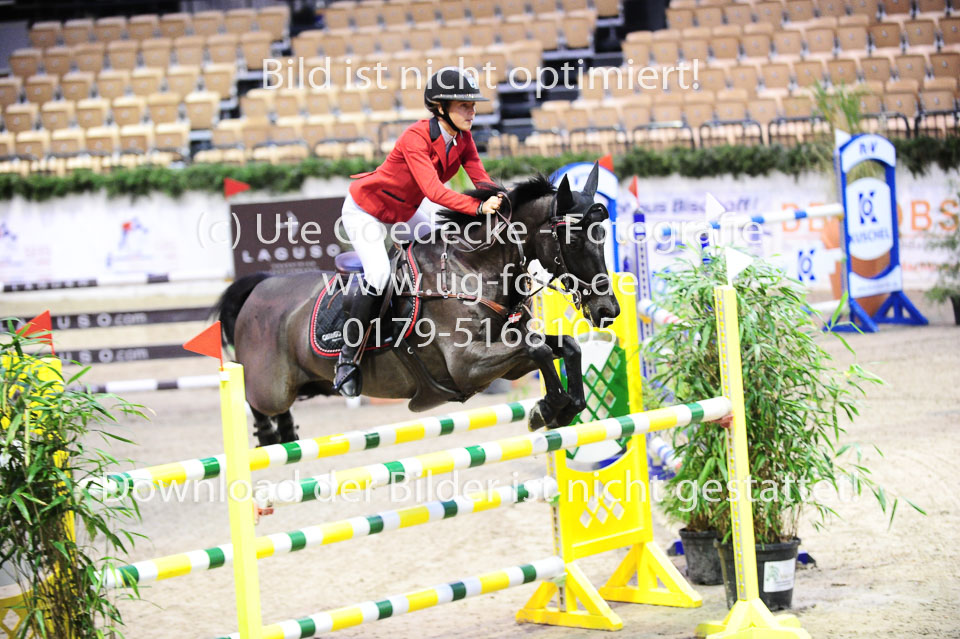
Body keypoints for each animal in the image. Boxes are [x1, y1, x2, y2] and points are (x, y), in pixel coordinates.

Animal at [213, 162, 620, 446]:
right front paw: (546, 409)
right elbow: (539, 350)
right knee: (255, 400)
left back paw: (285, 434)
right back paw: (272, 435)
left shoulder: (505, 361)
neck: (473, 270)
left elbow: (563, 346)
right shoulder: (467, 366)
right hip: (270, 386)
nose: (609, 311)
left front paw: (563, 408)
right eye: (574, 239)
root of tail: (259, 287)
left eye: (603, 236)